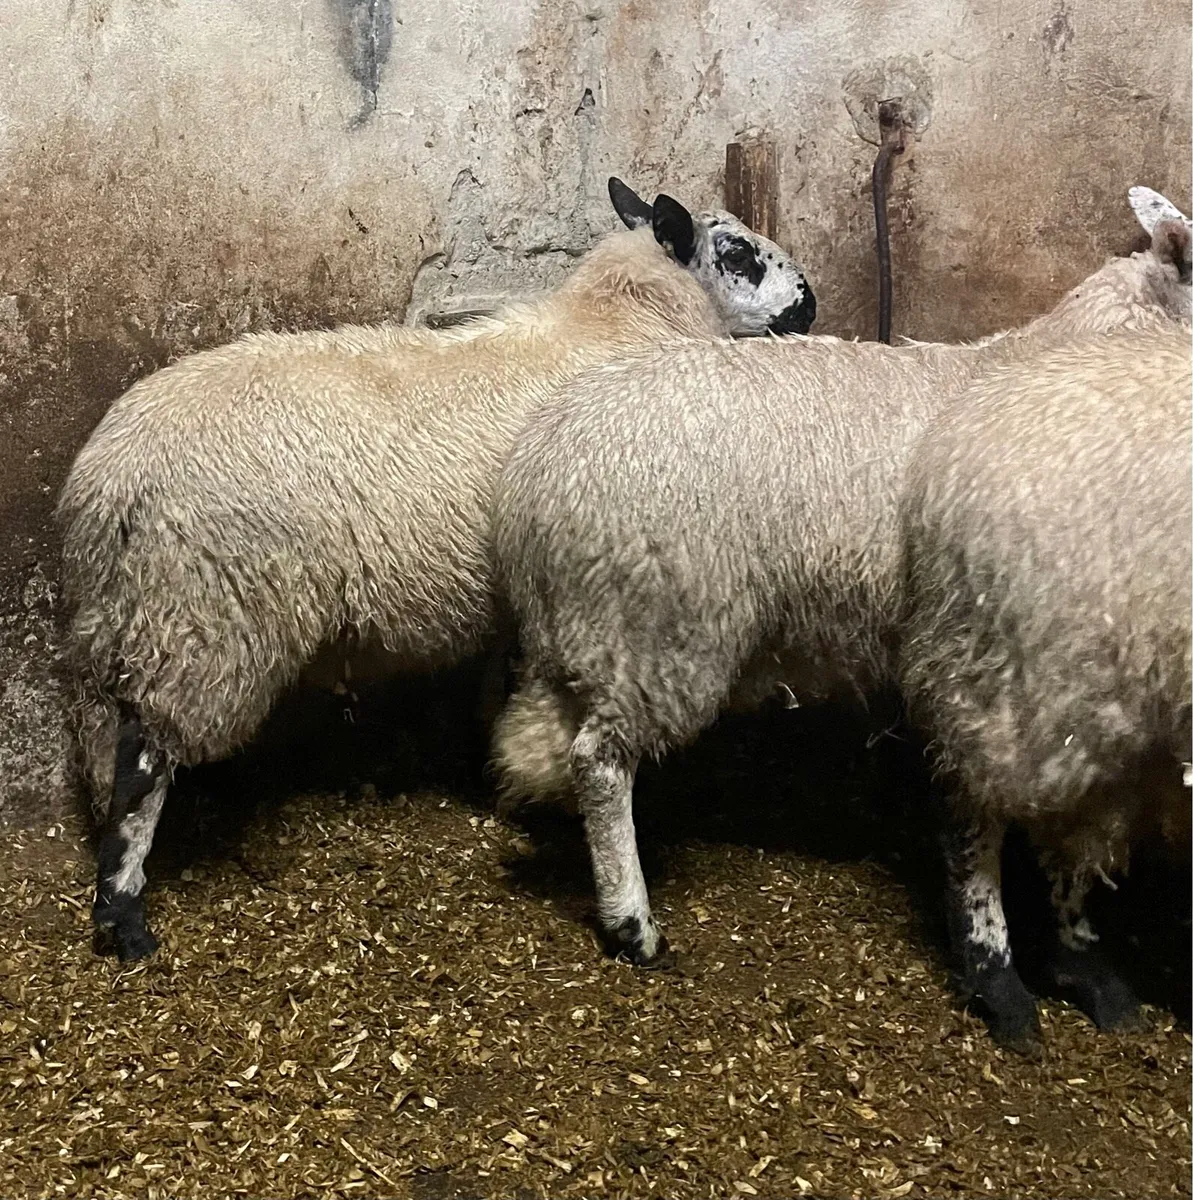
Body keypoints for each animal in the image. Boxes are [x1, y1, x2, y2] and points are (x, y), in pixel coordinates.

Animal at [59, 177, 817, 962]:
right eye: (736, 253)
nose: (809, 305)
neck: (617, 326)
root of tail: (112, 478)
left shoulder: (514, 595)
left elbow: (498, 683)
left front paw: (494, 771)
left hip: (122, 614)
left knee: (106, 738)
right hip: (205, 609)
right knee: (143, 759)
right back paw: (124, 917)